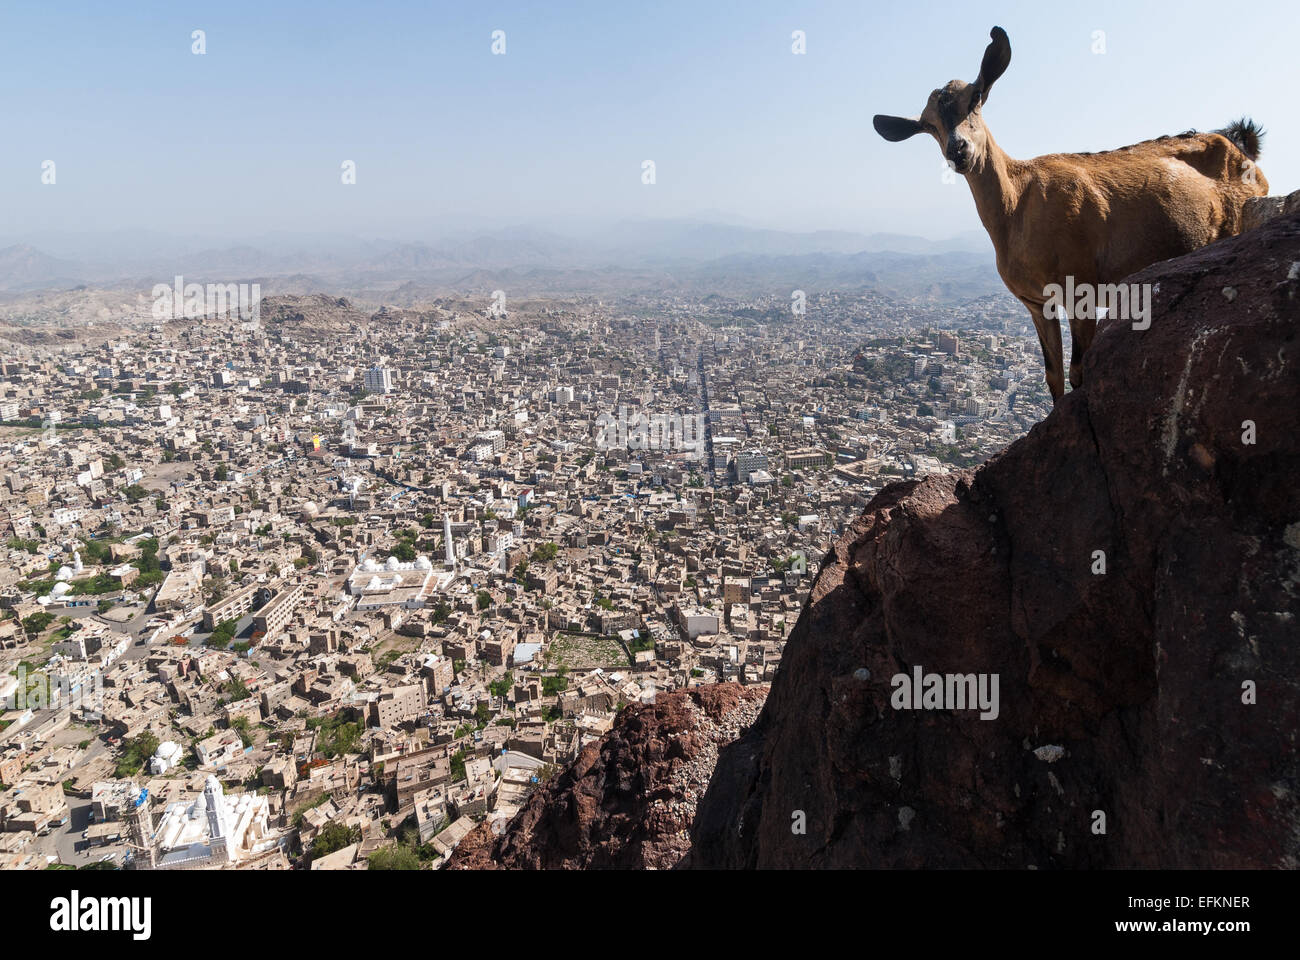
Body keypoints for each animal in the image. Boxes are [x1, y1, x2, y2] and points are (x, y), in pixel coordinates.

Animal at [873, 27, 1268, 400]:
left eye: (975, 97)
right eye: (928, 125)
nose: (958, 151)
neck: (1017, 205)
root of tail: (1244, 150)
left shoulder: (1082, 290)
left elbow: (1079, 372)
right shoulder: (1037, 303)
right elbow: (1053, 375)